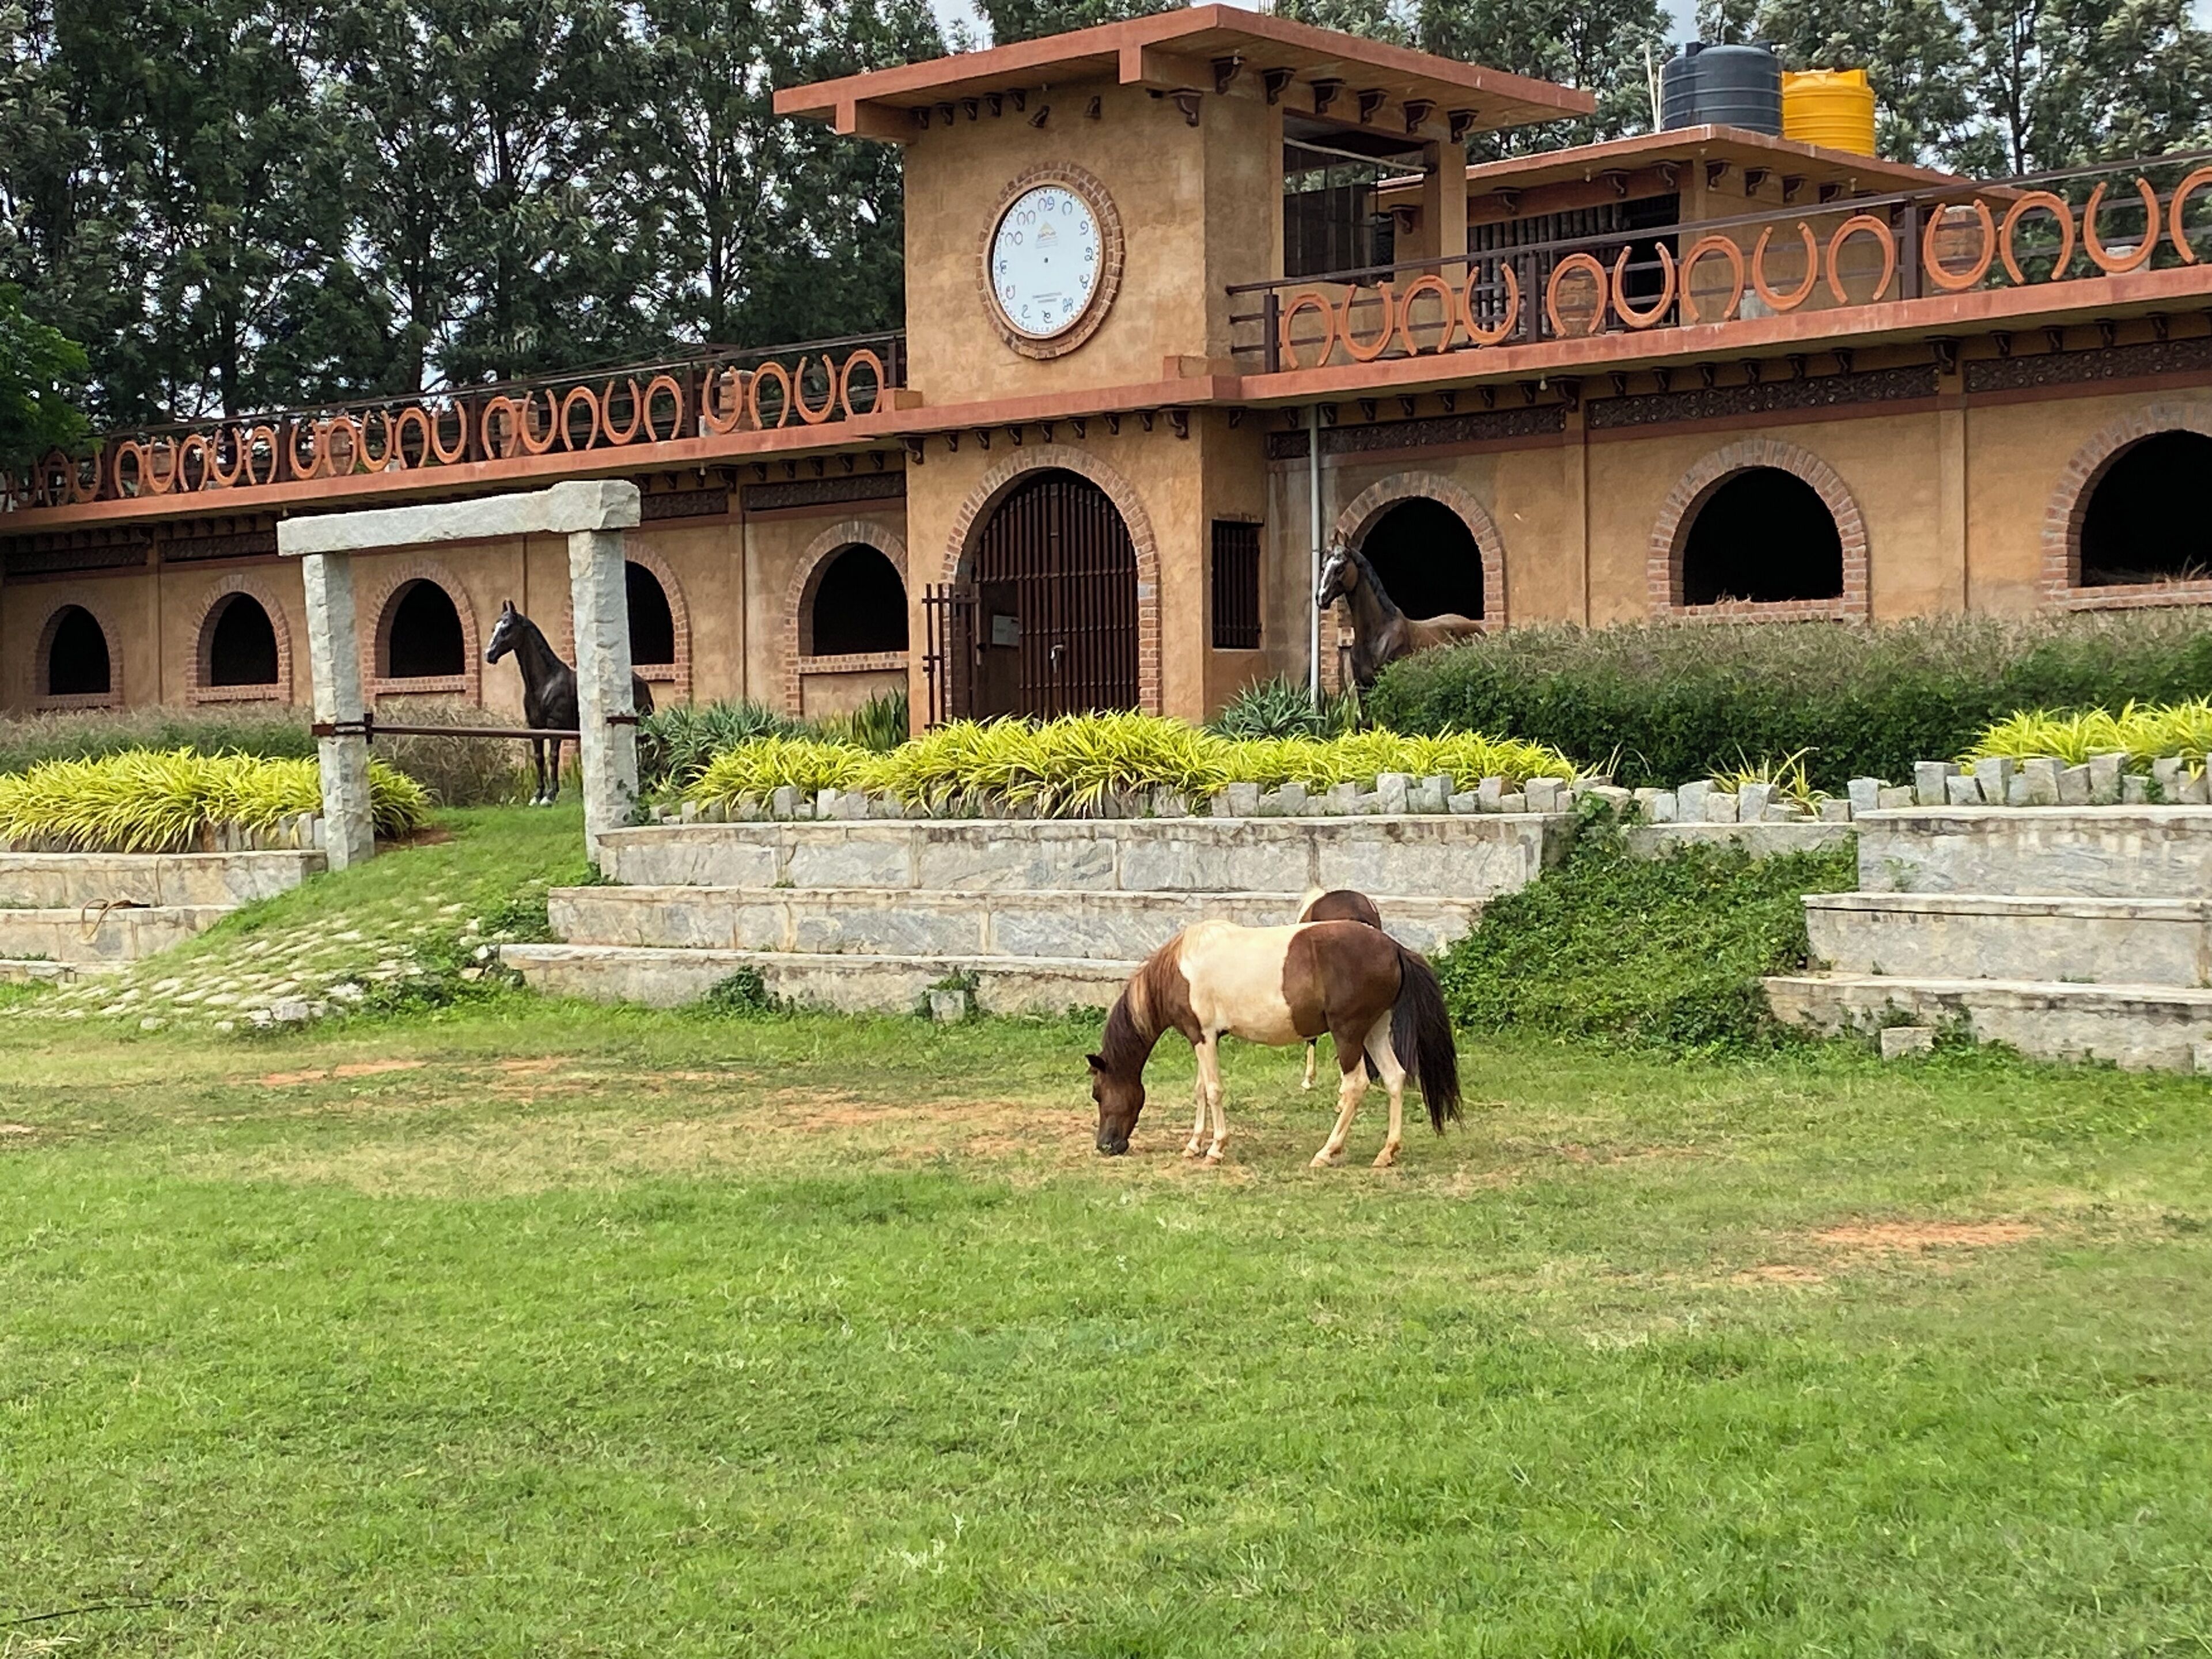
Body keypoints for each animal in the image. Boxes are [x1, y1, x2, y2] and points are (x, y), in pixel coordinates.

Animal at [484, 600, 656, 806]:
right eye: (494, 628)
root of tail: (643, 683)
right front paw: (537, 796)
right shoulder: (535, 728)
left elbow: (553, 758)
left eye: (507, 628)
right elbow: (539, 758)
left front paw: (550, 796)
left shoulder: (555, 727)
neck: (545, 684)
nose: (489, 654)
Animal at [1087, 918, 1461, 1169]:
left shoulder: (1203, 1036)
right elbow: (1200, 1091)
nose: (1106, 1146)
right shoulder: (1203, 1039)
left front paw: (1215, 1149)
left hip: (1349, 1034)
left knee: (1356, 1085)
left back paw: (1326, 1152)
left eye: (1098, 1093)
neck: (1181, 967)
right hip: (1375, 1030)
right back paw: (1387, 1152)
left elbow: (1213, 1091)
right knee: (1395, 1078)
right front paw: (1193, 1145)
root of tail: (1394, 948)